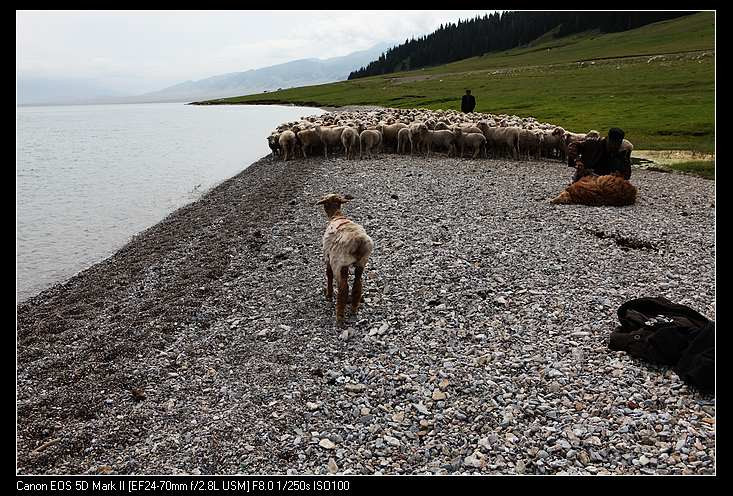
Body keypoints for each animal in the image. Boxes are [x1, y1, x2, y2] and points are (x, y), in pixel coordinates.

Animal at [316, 194, 374, 326]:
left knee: (343, 287)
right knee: (358, 283)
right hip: (362, 262)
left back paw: (340, 316)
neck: (337, 215)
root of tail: (359, 240)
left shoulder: (327, 257)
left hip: (339, 262)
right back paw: (353, 308)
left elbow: (329, 274)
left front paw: (329, 295)